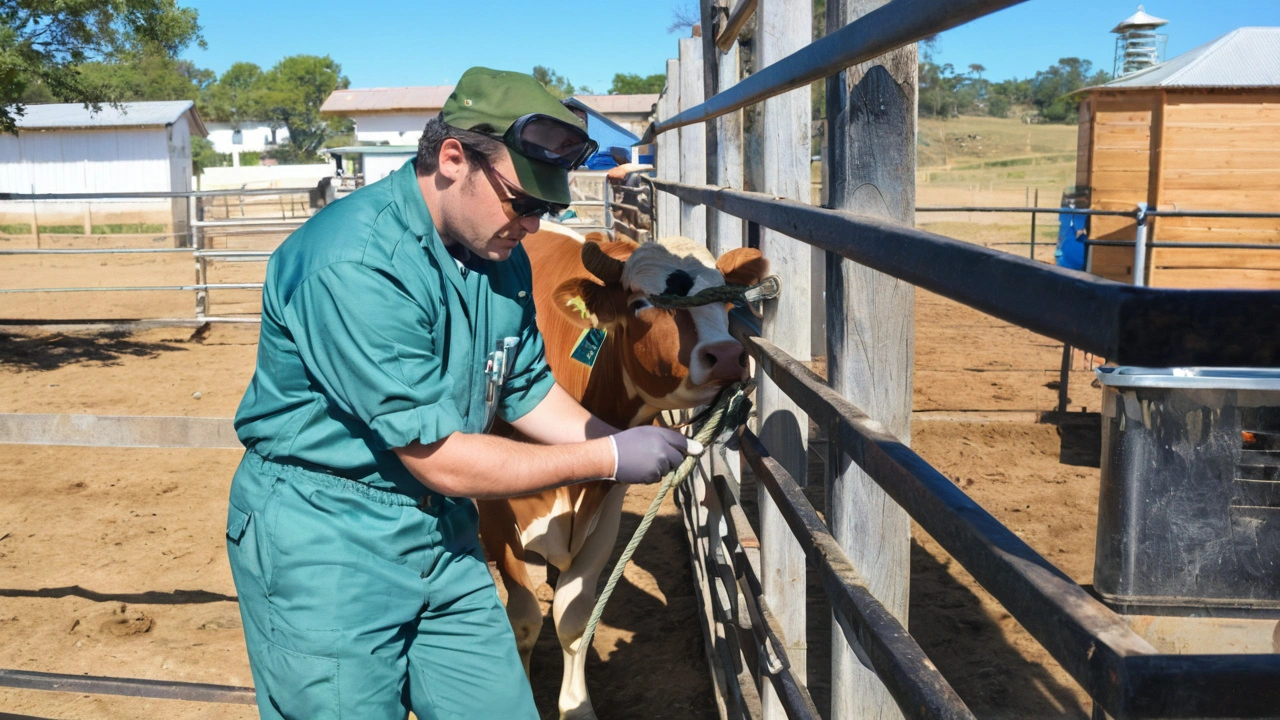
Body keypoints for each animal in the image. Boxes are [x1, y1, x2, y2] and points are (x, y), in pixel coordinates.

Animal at [476, 221, 762, 712]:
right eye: (641, 303)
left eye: (725, 301)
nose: (726, 355)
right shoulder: (492, 509)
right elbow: (525, 619)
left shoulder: (607, 502)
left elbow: (573, 617)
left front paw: (577, 706)